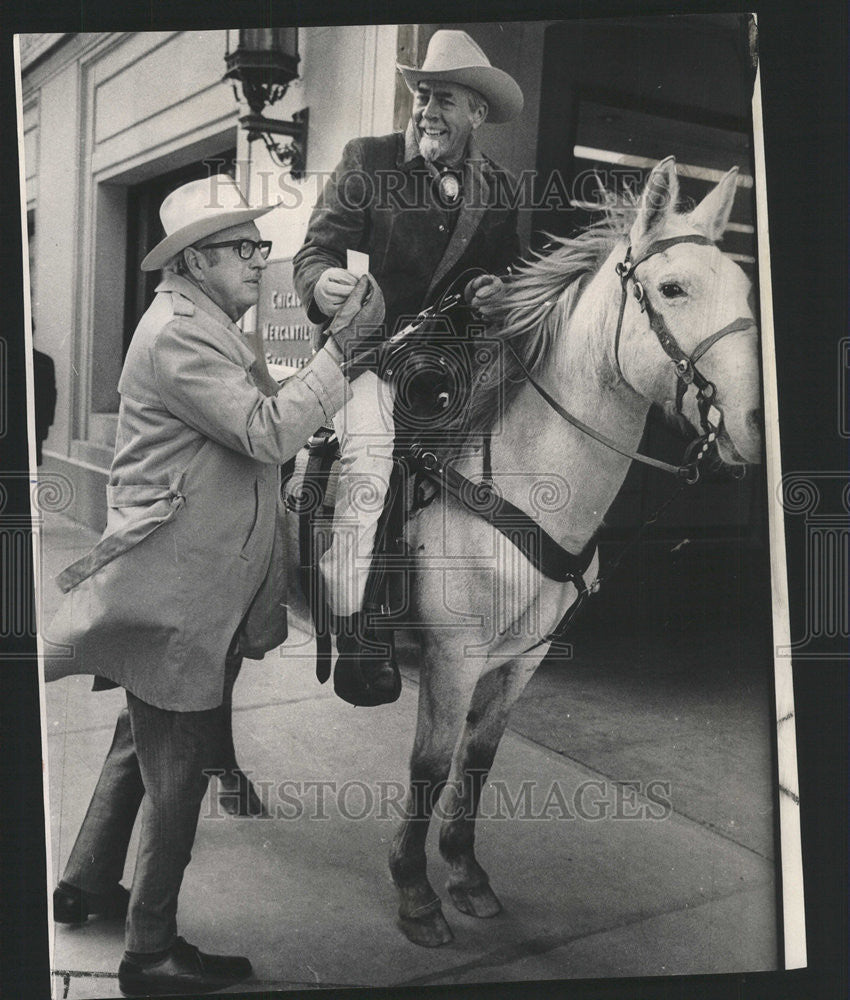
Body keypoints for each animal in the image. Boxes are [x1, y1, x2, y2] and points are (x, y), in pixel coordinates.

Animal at [286, 156, 760, 944]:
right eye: (673, 288)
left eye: (748, 289)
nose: (755, 424)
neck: (519, 477)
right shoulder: (454, 655)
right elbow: (430, 763)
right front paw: (415, 890)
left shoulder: (524, 657)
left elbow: (477, 760)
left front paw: (466, 875)